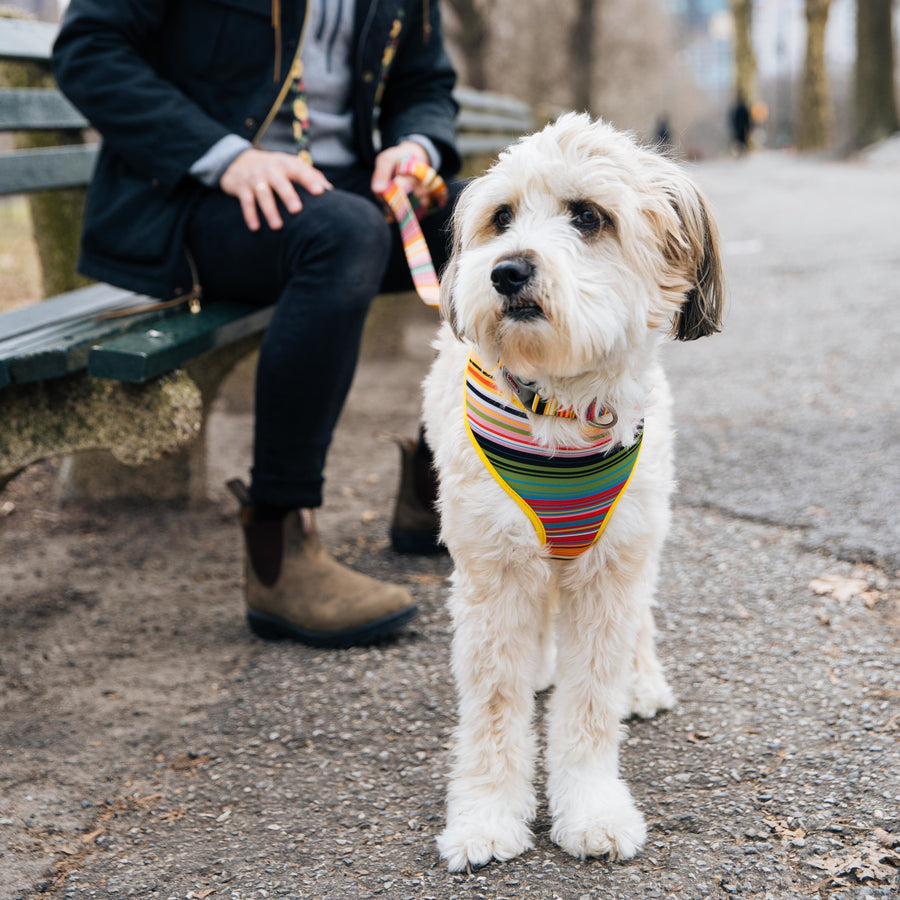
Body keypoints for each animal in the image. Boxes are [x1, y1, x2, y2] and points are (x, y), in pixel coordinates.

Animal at [422, 112, 724, 872]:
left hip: (640, 537)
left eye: (588, 216)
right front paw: (486, 817)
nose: (505, 270)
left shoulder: (607, 572)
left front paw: (590, 808)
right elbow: (494, 708)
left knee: (637, 624)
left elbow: (589, 707)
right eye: (501, 217)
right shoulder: (494, 573)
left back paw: (640, 683)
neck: (556, 403)